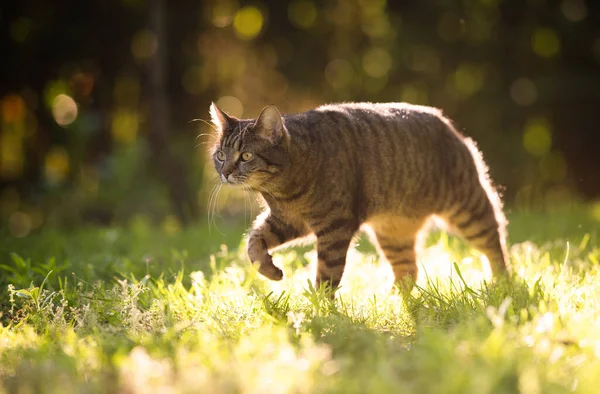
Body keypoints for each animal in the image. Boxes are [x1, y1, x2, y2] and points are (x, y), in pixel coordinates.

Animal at [209, 101, 508, 292]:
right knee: (408, 272)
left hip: (468, 208)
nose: (225, 172)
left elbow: (327, 273)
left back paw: (503, 283)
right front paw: (270, 270)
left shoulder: (335, 226)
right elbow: (253, 243)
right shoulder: (287, 221)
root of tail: (448, 123)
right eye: (221, 155)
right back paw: (392, 303)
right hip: (393, 235)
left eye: (246, 155)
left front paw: (318, 310)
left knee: (496, 242)